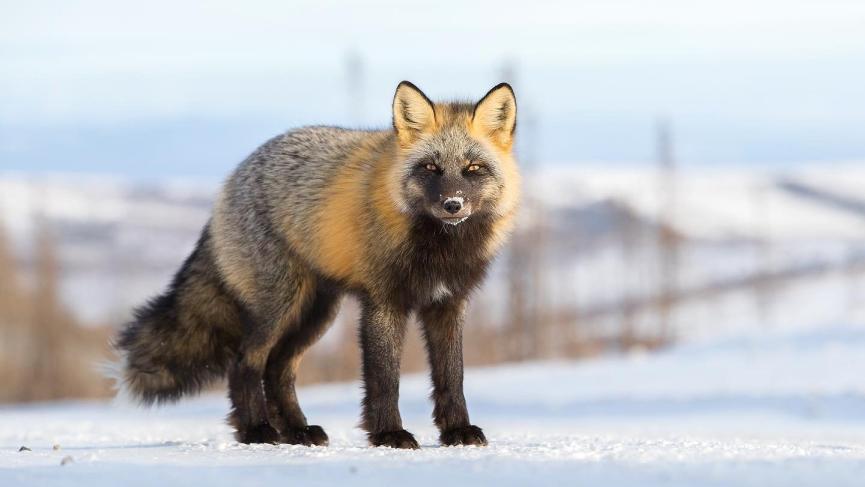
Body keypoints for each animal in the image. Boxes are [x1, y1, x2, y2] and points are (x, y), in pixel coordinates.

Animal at [114, 81, 520, 449]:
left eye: (473, 168)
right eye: (431, 167)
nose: (453, 204)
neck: (438, 248)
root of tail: (233, 176)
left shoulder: (448, 304)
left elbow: (452, 377)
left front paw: (457, 431)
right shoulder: (383, 303)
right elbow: (385, 379)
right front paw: (389, 435)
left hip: (315, 314)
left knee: (277, 370)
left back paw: (297, 431)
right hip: (279, 308)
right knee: (245, 363)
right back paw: (256, 430)